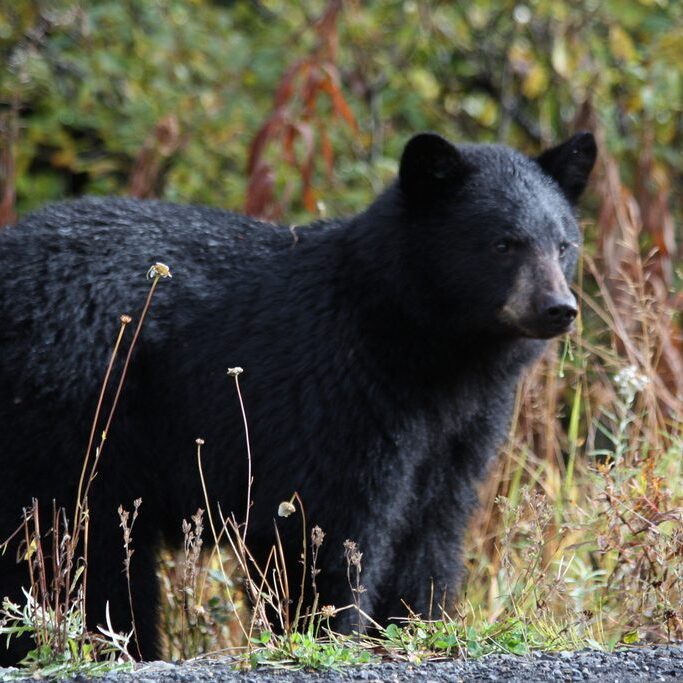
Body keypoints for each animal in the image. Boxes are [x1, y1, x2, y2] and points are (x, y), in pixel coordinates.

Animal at [0, 131, 596, 663]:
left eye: (564, 243)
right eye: (503, 243)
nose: (559, 308)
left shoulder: (456, 431)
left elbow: (429, 528)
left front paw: (414, 626)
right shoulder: (335, 390)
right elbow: (324, 527)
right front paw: (324, 631)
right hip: (73, 409)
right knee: (77, 545)